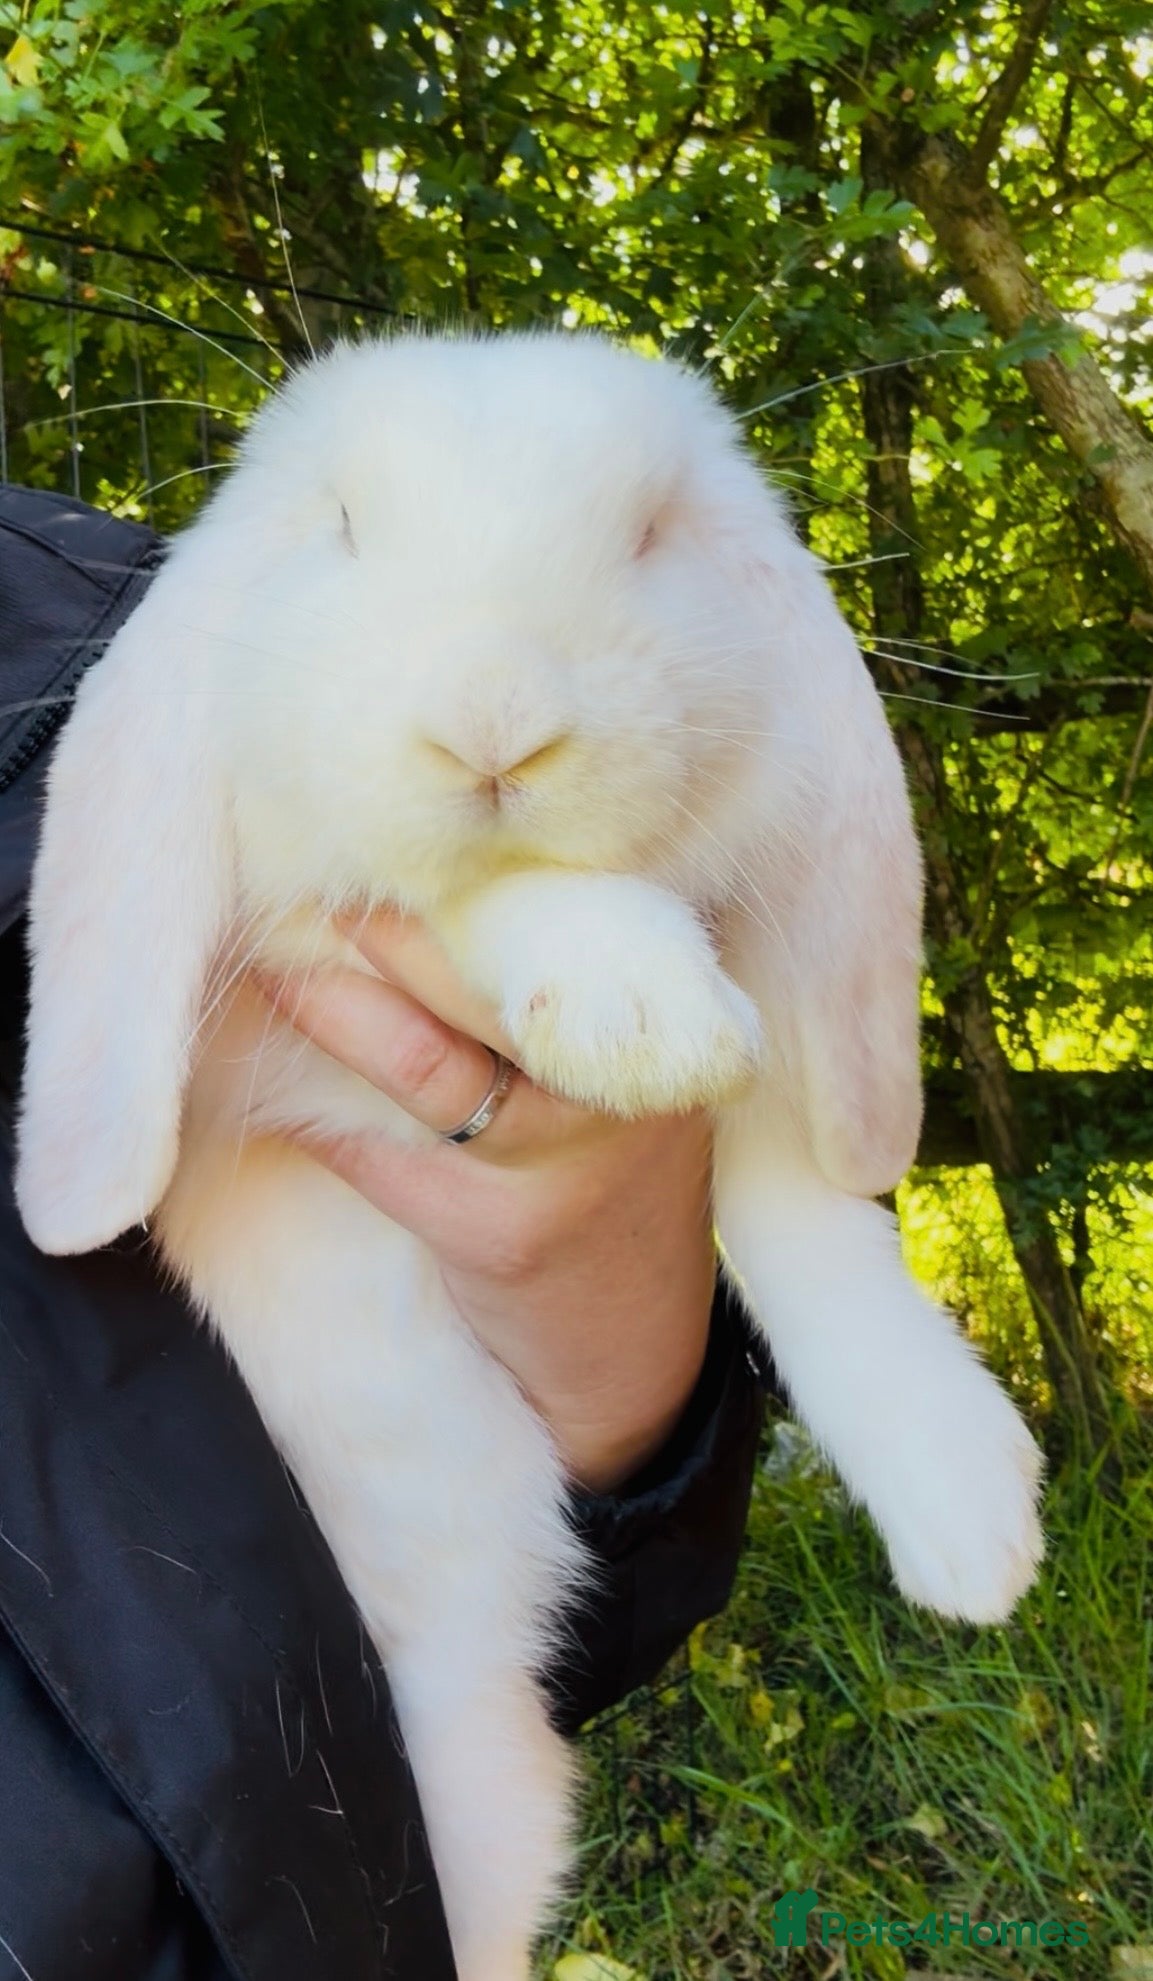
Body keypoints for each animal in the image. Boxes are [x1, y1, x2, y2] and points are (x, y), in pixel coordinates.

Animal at [16, 330, 1043, 1981]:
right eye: (344, 526)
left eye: (650, 536)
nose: (492, 723)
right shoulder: (299, 959)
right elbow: (473, 897)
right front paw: (640, 1007)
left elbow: (791, 1192)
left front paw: (971, 1519)